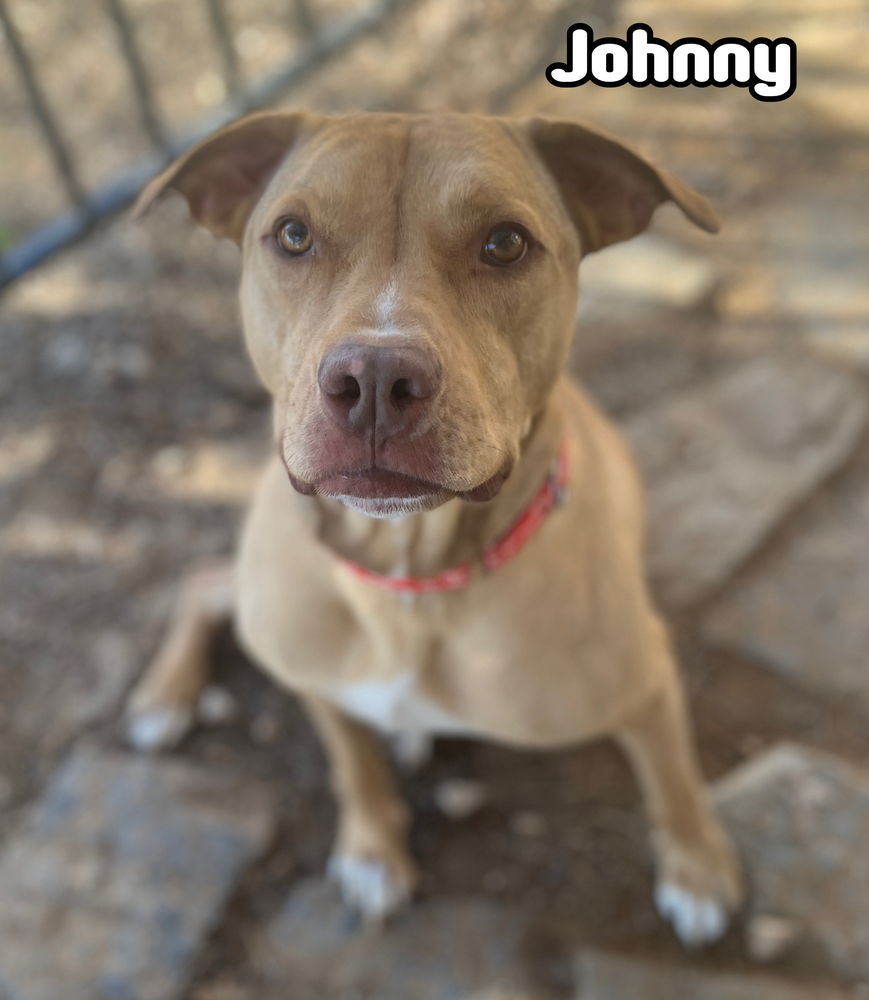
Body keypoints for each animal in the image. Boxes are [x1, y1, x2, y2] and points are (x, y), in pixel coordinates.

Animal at [125, 109, 744, 944]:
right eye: (293, 235)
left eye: (505, 242)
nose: (374, 378)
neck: (408, 579)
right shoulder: (312, 674)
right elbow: (352, 764)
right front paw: (372, 850)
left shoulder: (645, 684)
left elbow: (672, 779)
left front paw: (698, 869)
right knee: (205, 580)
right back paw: (164, 698)